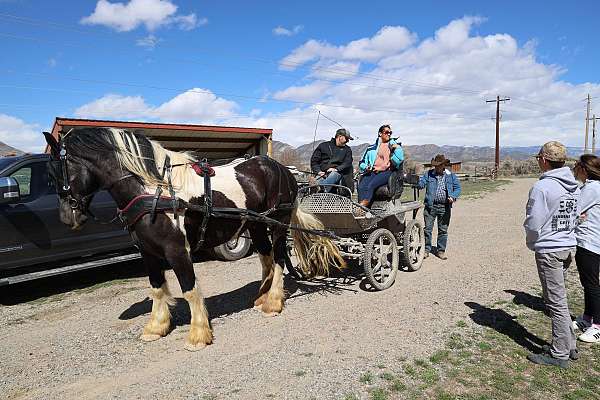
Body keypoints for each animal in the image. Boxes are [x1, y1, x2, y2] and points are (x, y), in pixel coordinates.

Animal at [43, 128, 342, 350]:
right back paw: (260, 297)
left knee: (279, 258)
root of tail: (281, 169)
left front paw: (198, 334)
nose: (68, 219)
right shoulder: (148, 252)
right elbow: (156, 288)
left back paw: (273, 302)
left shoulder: (177, 250)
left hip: (277, 224)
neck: (153, 190)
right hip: (256, 225)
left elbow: (188, 289)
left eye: (59, 171)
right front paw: (156, 327)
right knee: (266, 258)